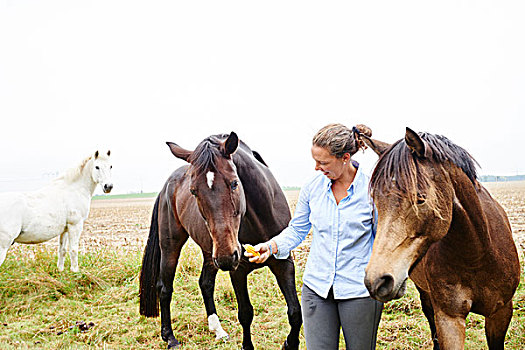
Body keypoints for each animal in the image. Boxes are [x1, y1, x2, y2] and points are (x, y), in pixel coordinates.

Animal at [139, 133, 300, 348]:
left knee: (205, 283)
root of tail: (167, 186)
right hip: (172, 246)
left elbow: (295, 312)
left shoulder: (283, 263)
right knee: (164, 288)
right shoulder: (238, 271)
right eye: (193, 191)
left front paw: (290, 343)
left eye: (234, 183)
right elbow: (245, 313)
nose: (226, 257)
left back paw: (217, 330)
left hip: (211, 253)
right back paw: (169, 337)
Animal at [358, 128, 516, 350]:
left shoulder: (501, 312)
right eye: (376, 201)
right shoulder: (449, 318)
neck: (478, 256)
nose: (376, 281)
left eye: (420, 199)